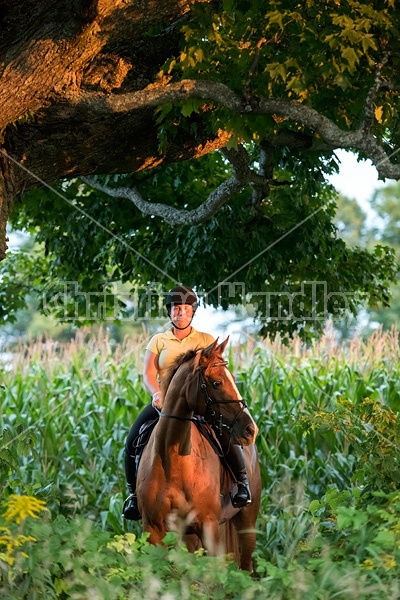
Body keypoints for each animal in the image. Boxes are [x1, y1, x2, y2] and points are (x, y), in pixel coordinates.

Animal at [137, 338, 262, 572]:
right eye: (217, 383)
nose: (251, 430)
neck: (172, 460)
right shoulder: (154, 530)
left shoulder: (208, 527)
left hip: (246, 523)